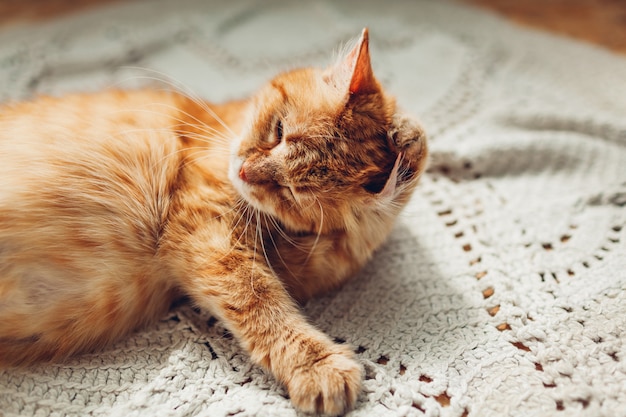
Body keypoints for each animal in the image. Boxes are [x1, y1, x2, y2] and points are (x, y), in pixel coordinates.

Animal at [0, 28, 424, 412]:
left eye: (292, 191)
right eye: (279, 130)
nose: (246, 171)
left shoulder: (300, 261)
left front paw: (406, 150)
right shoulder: (205, 234)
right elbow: (260, 301)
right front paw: (315, 365)